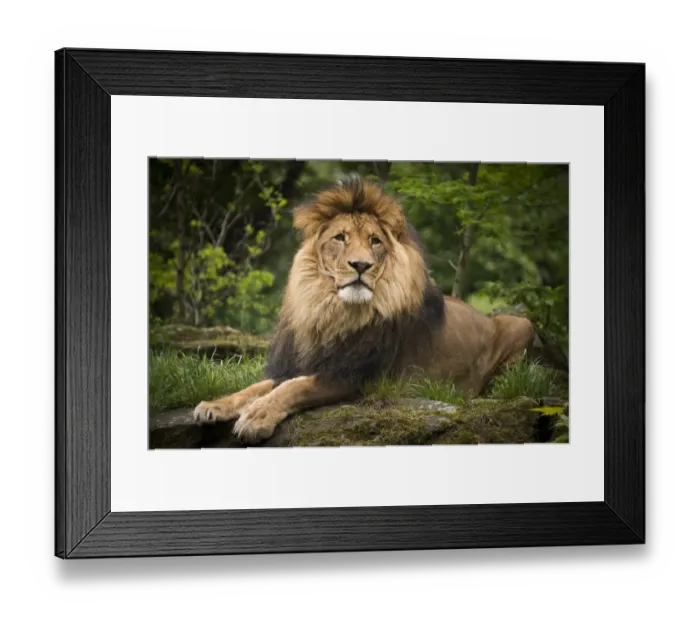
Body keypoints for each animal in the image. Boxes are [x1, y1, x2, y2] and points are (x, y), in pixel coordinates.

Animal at [193, 177, 535, 444]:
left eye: (375, 241)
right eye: (340, 238)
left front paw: (256, 417)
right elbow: (258, 386)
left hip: (522, 324)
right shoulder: (301, 363)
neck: (332, 312)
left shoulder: (358, 377)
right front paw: (216, 405)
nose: (360, 265)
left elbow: (295, 387)